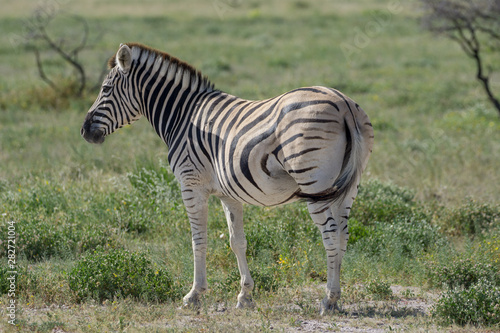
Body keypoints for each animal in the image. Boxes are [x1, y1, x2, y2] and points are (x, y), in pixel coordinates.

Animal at [81, 42, 372, 312]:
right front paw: (245, 296)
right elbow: (237, 242)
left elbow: (198, 239)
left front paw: (194, 294)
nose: (84, 132)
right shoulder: (229, 194)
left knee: (331, 235)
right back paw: (336, 298)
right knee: (343, 235)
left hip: (314, 181)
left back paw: (328, 299)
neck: (183, 115)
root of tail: (344, 104)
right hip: (348, 187)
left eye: (105, 89)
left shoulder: (191, 184)